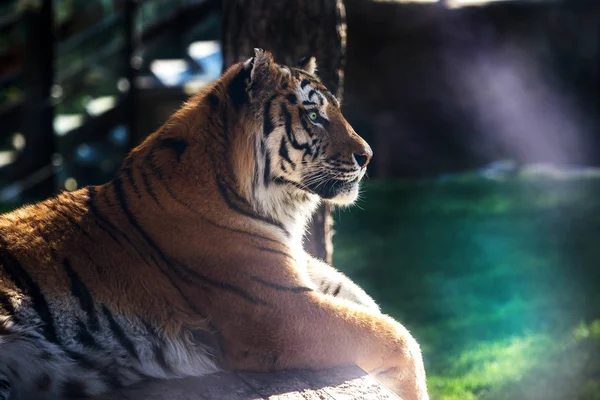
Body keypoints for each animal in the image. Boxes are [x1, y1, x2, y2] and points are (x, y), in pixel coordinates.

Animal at [0, 50, 428, 400]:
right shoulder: (280, 312)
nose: (367, 156)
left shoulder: (307, 281)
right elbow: (400, 338)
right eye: (313, 115)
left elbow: (379, 312)